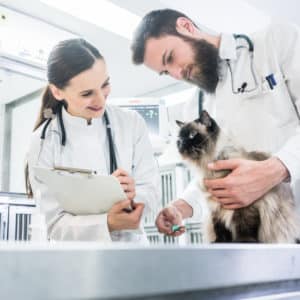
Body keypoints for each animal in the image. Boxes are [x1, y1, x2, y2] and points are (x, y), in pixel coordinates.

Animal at [176, 110, 300, 244]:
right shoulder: (215, 208)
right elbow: (220, 229)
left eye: (192, 135)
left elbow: (244, 227)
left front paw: (243, 241)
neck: (208, 168)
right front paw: (220, 242)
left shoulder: (244, 206)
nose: (181, 145)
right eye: (179, 139)